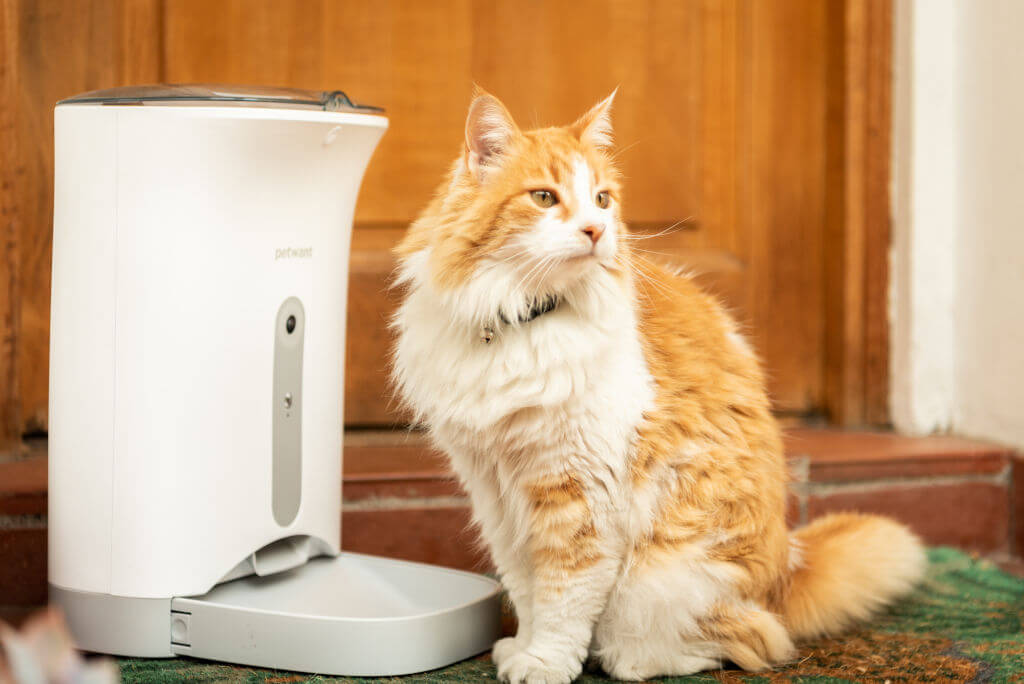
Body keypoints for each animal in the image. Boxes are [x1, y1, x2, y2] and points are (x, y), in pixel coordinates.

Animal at [387, 92, 925, 684]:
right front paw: (522, 648)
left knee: (748, 641)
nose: (596, 230)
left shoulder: (578, 491)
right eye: (545, 197)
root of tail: (788, 565)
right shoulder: (494, 491)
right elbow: (526, 587)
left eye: (602, 200)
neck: (518, 320)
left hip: (665, 582)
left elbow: (562, 596)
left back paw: (625, 658)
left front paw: (545, 663)